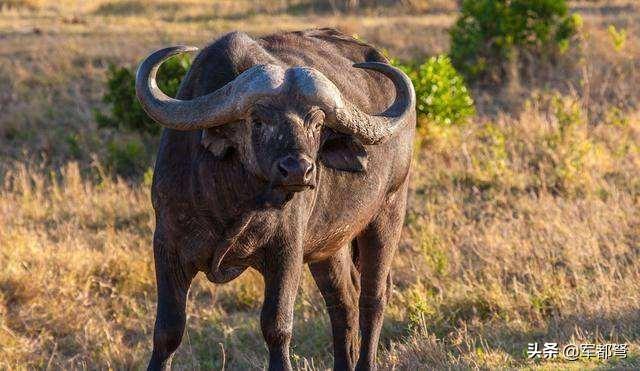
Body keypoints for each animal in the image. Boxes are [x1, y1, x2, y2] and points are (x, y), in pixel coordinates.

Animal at [135, 27, 416, 370]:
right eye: (258, 120)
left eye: (317, 123)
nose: (298, 170)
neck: (233, 201)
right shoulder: (167, 246)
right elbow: (168, 331)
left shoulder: (286, 252)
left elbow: (276, 326)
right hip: (329, 246)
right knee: (342, 301)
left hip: (387, 215)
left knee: (372, 298)